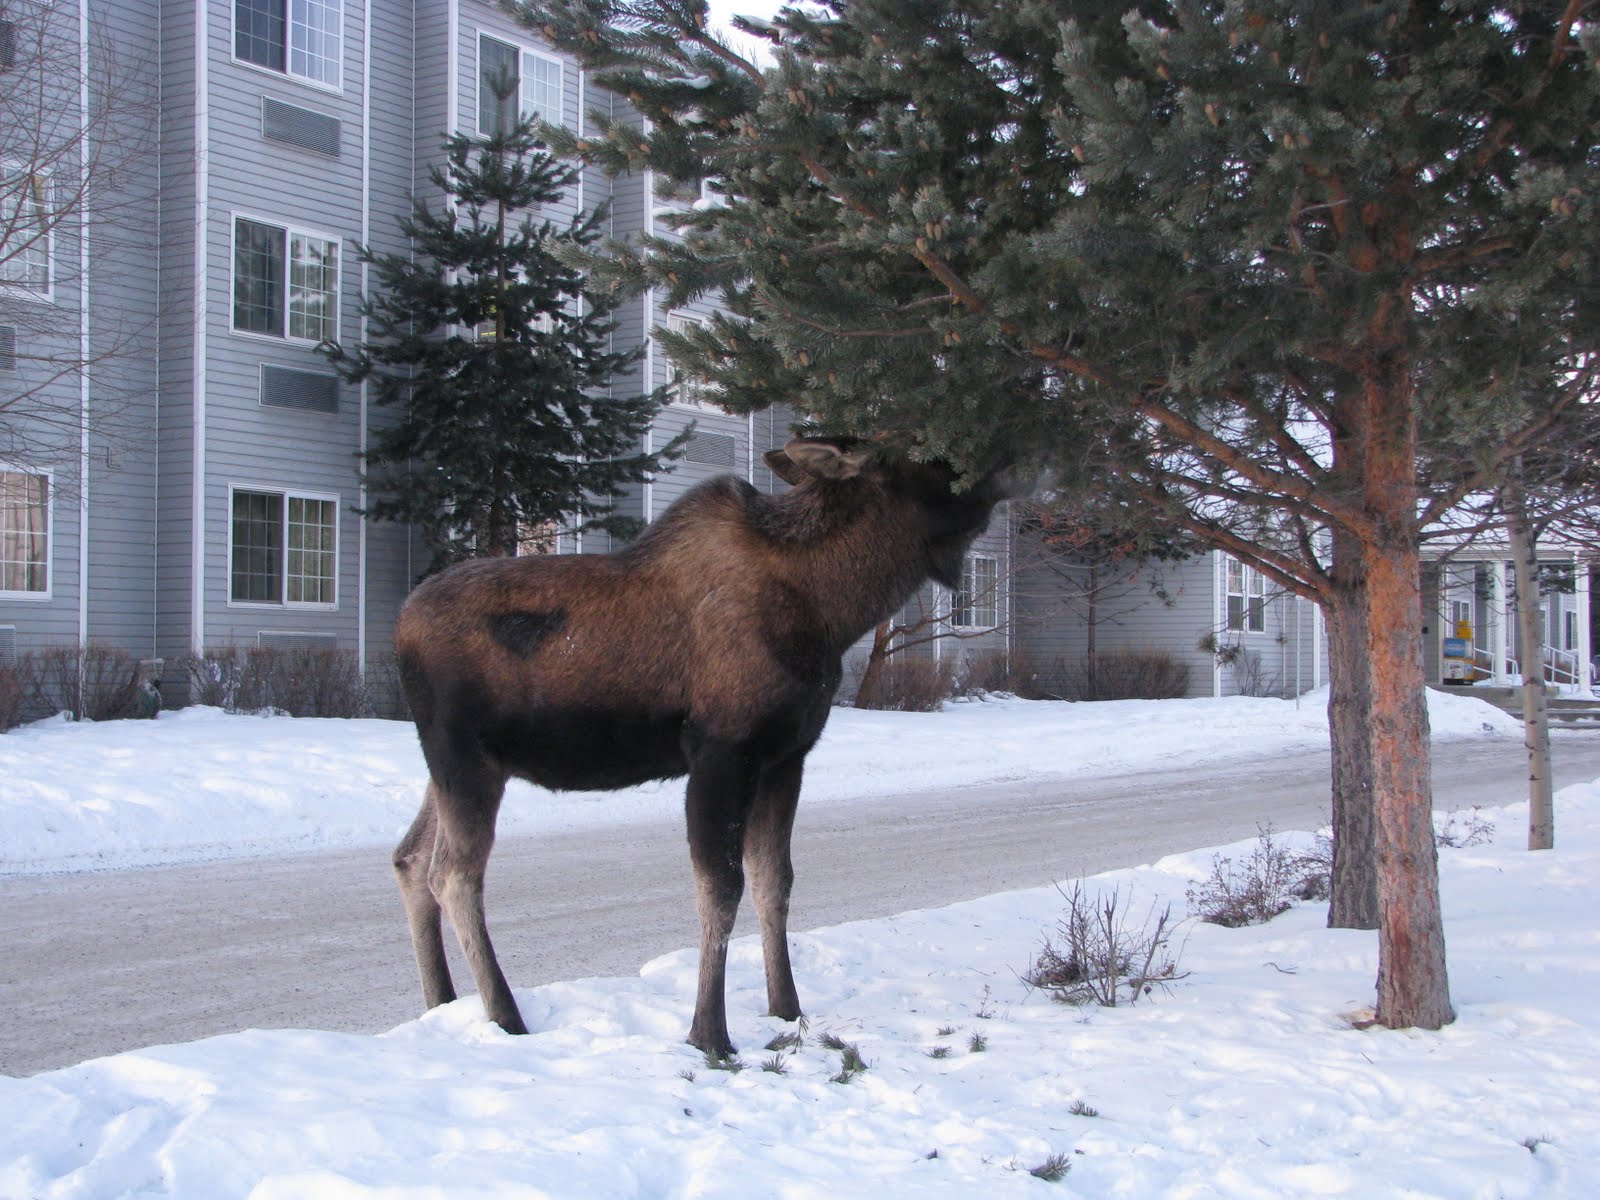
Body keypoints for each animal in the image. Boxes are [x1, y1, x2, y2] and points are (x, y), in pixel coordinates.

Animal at [391, 436, 1018, 1058]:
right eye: (923, 457)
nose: (1007, 463)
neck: (835, 611)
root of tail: (399, 629)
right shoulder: (723, 751)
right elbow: (721, 888)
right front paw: (710, 1033)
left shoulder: (786, 757)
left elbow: (773, 880)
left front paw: (786, 1008)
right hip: (463, 757)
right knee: (453, 874)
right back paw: (504, 1014)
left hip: (459, 766)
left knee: (410, 858)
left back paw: (441, 1003)